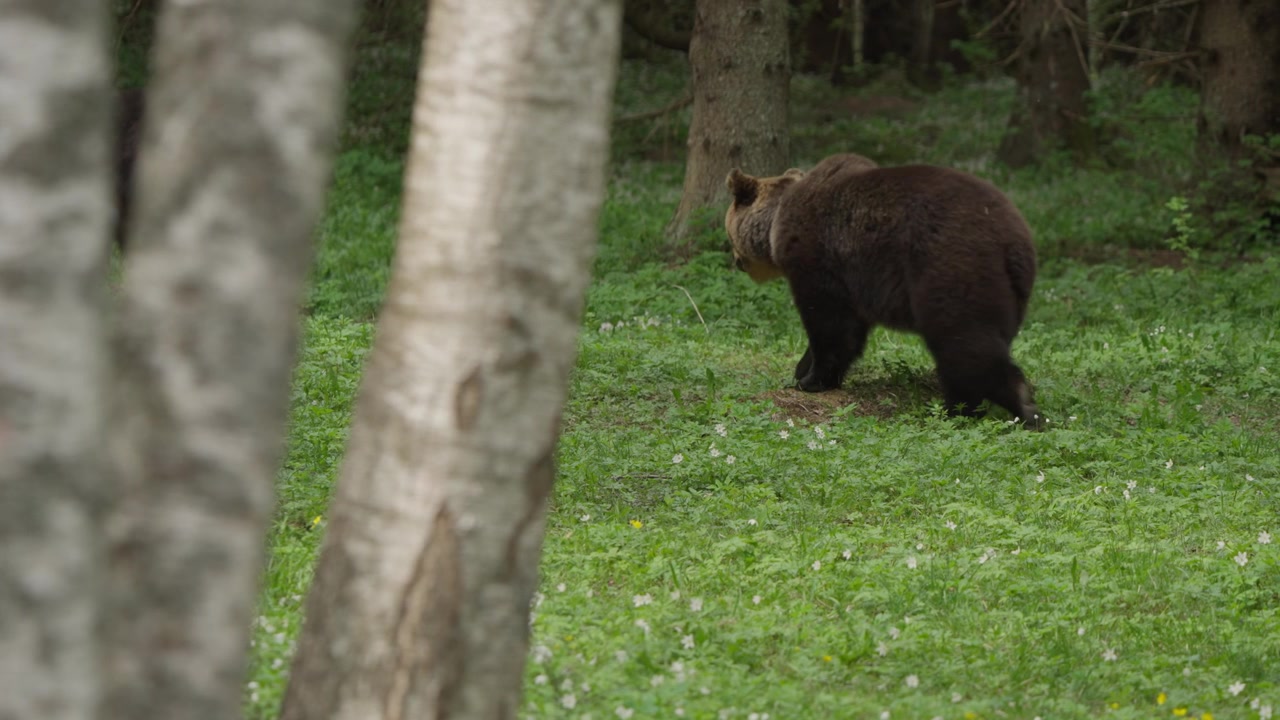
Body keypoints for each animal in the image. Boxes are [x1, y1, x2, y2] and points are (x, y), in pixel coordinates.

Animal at [723, 152, 1042, 427]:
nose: (735, 259)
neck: (776, 226)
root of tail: (1015, 242)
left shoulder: (820, 258)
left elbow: (828, 324)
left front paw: (811, 379)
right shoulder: (857, 282)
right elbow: (849, 330)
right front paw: (802, 369)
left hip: (951, 267)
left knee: (962, 341)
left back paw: (978, 406)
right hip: (1011, 292)